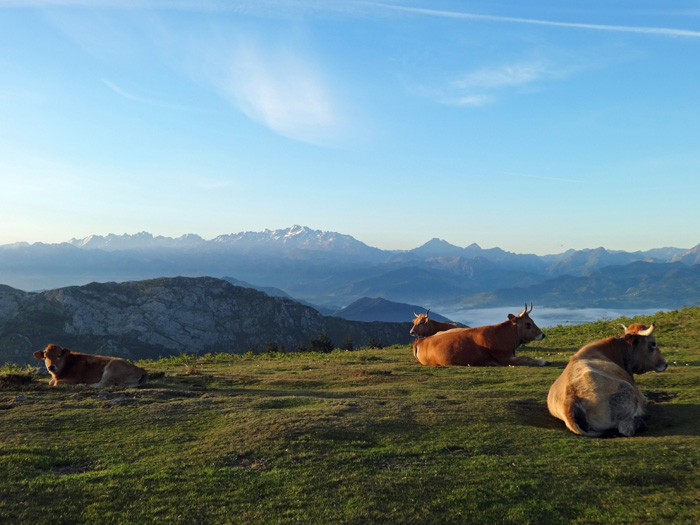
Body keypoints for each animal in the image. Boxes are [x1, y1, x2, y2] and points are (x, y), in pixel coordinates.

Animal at [410, 300, 548, 366]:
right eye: (528, 324)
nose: (543, 334)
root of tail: (421, 340)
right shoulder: (504, 359)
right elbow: (526, 358)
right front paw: (543, 361)